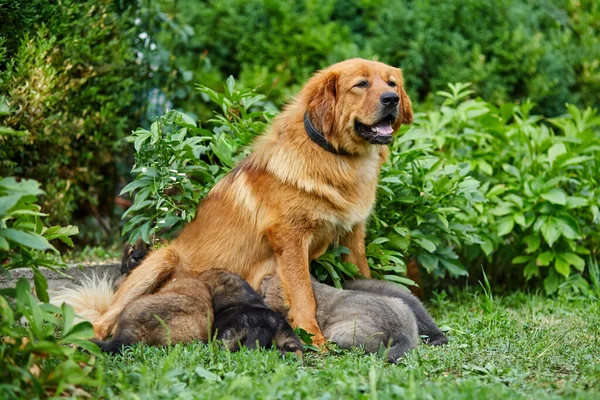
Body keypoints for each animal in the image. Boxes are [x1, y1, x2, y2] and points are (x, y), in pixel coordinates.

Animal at [94, 57, 412, 346]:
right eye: (361, 84)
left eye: (391, 83)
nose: (391, 99)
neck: (334, 156)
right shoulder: (291, 240)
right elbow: (303, 295)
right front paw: (313, 337)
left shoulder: (352, 235)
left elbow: (363, 275)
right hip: (162, 257)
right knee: (101, 321)